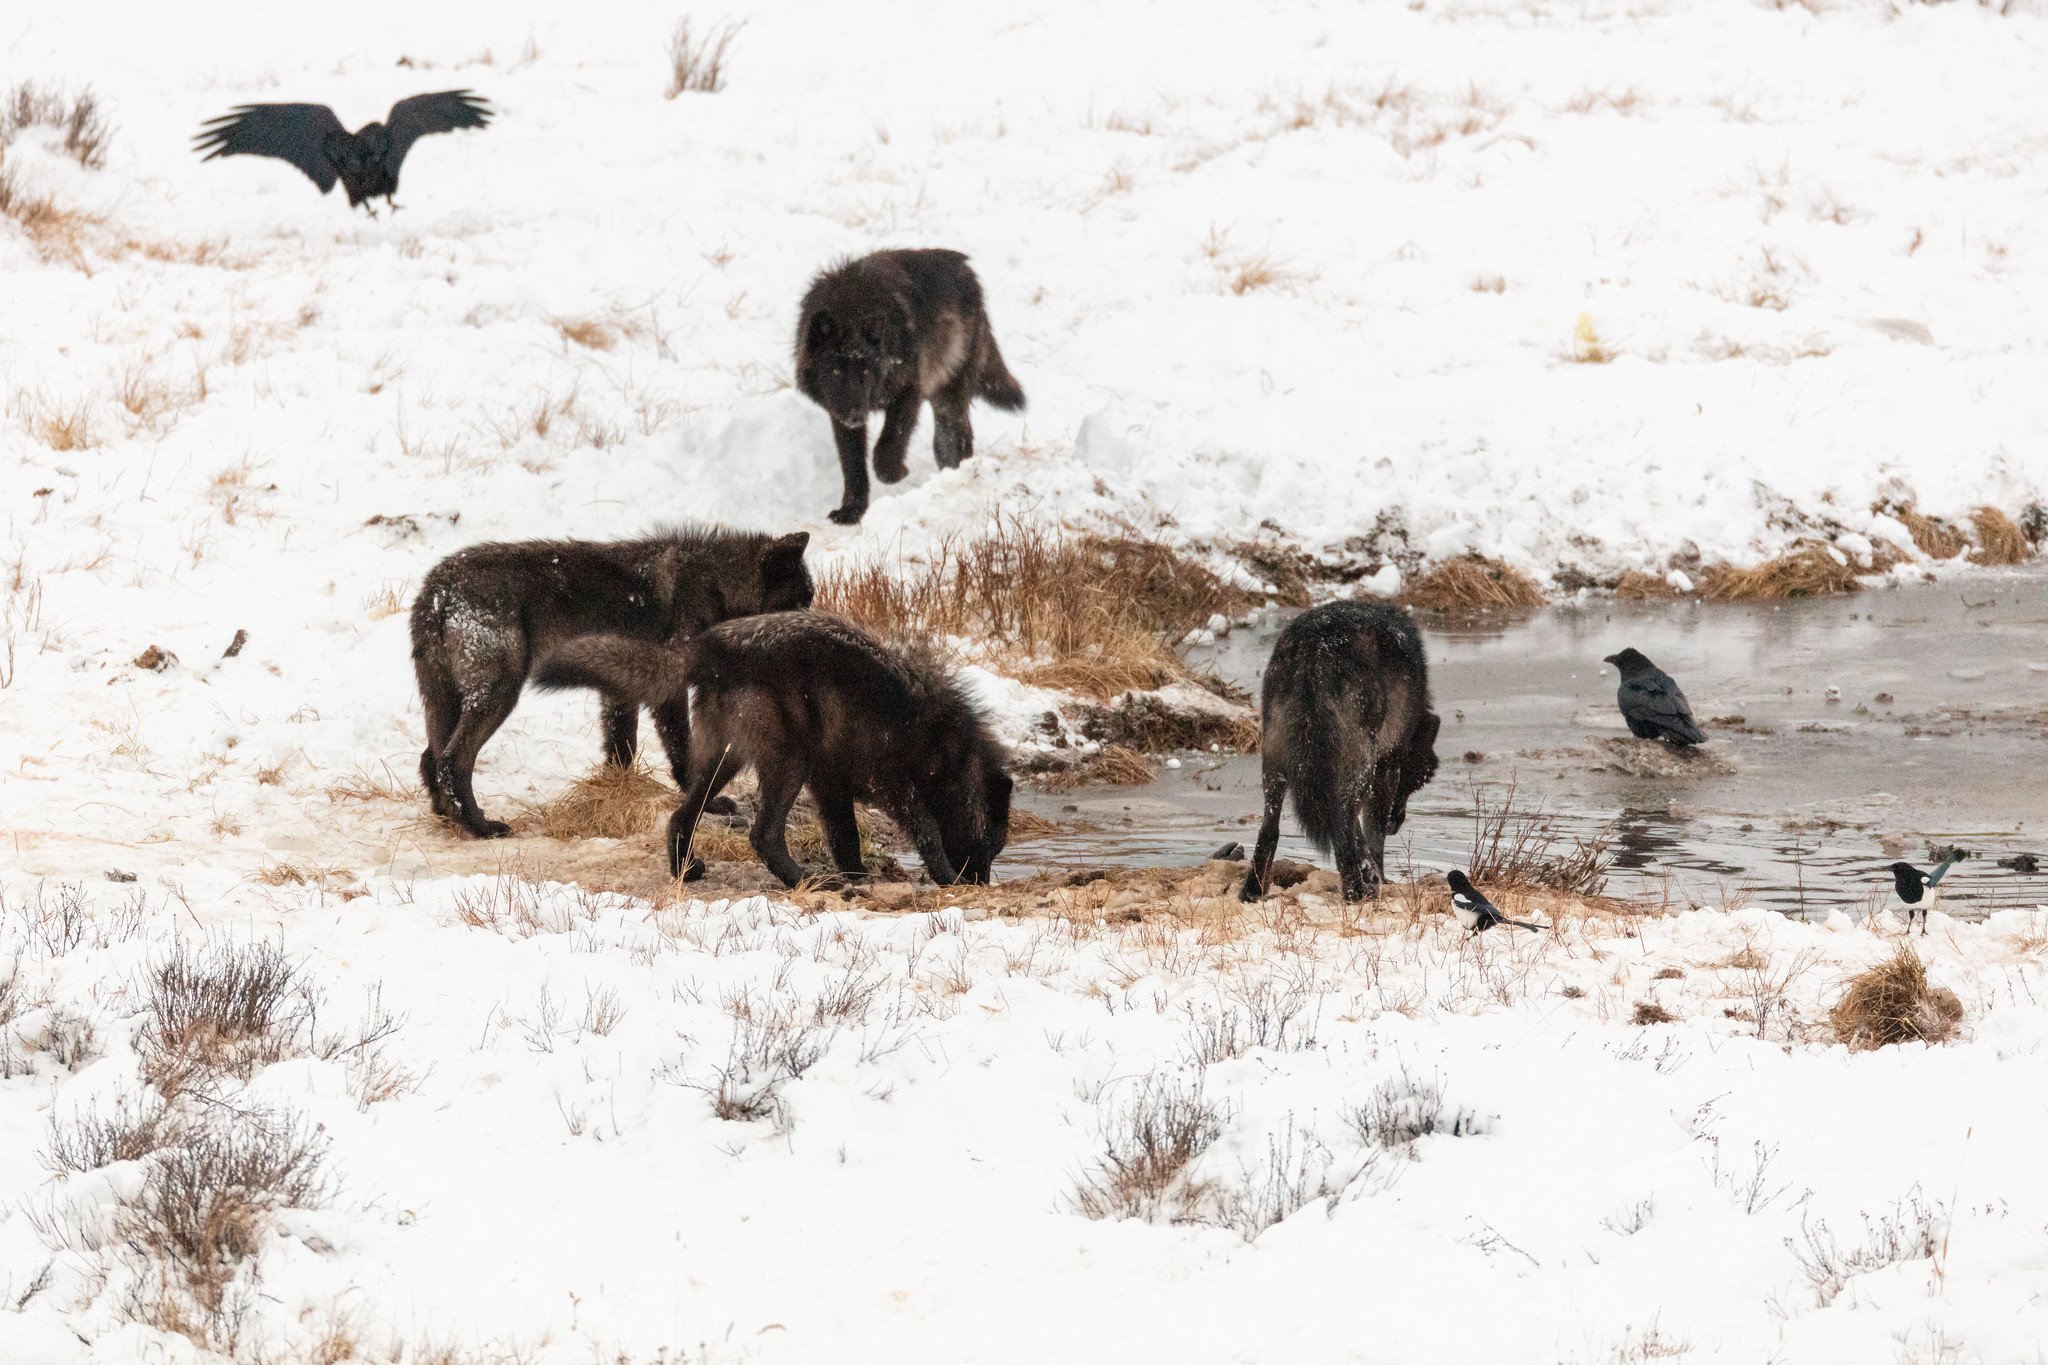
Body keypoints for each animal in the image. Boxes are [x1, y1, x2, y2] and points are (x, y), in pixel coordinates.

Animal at [403, 527, 811, 839]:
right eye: (801, 601)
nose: (811, 636)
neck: (714, 586)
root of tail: (439, 586)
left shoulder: (619, 691)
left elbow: (621, 750)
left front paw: (618, 795)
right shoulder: (668, 686)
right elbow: (682, 750)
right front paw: (706, 802)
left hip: (450, 698)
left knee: (429, 756)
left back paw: (448, 816)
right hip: (499, 694)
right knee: (453, 760)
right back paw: (479, 826)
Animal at [528, 613, 1007, 892]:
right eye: (991, 847)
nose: (982, 882)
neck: (949, 751)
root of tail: (708, 647)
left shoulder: (831, 785)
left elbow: (846, 838)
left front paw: (857, 876)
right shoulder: (890, 784)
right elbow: (927, 829)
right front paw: (946, 878)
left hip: (725, 760)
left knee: (682, 816)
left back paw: (688, 870)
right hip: (787, 764)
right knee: (763, 835)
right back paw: (804, 881)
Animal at [794, 248, 1024, 527]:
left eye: (865, 373)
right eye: (835, 373)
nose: (857, 415)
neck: (850, 307)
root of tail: (967, 269)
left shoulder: (909, 391)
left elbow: (888, 445)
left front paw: (896, 473)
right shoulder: (839, 413)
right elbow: (852, 464)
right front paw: (851, 511)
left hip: (949, 396)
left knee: (956, 438)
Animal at [1228, 601, 1441, 900]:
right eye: (1415, 783)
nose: (1396, 823)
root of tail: (1316, 646)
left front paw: (1372, 874)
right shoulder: (1388, 763)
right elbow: (1372, 830)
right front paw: (1378, 875)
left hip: (1274, 759)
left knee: (1270, 827)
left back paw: (1253, 891)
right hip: (1360, 761)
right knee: (1343, 821)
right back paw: (1355, 891)